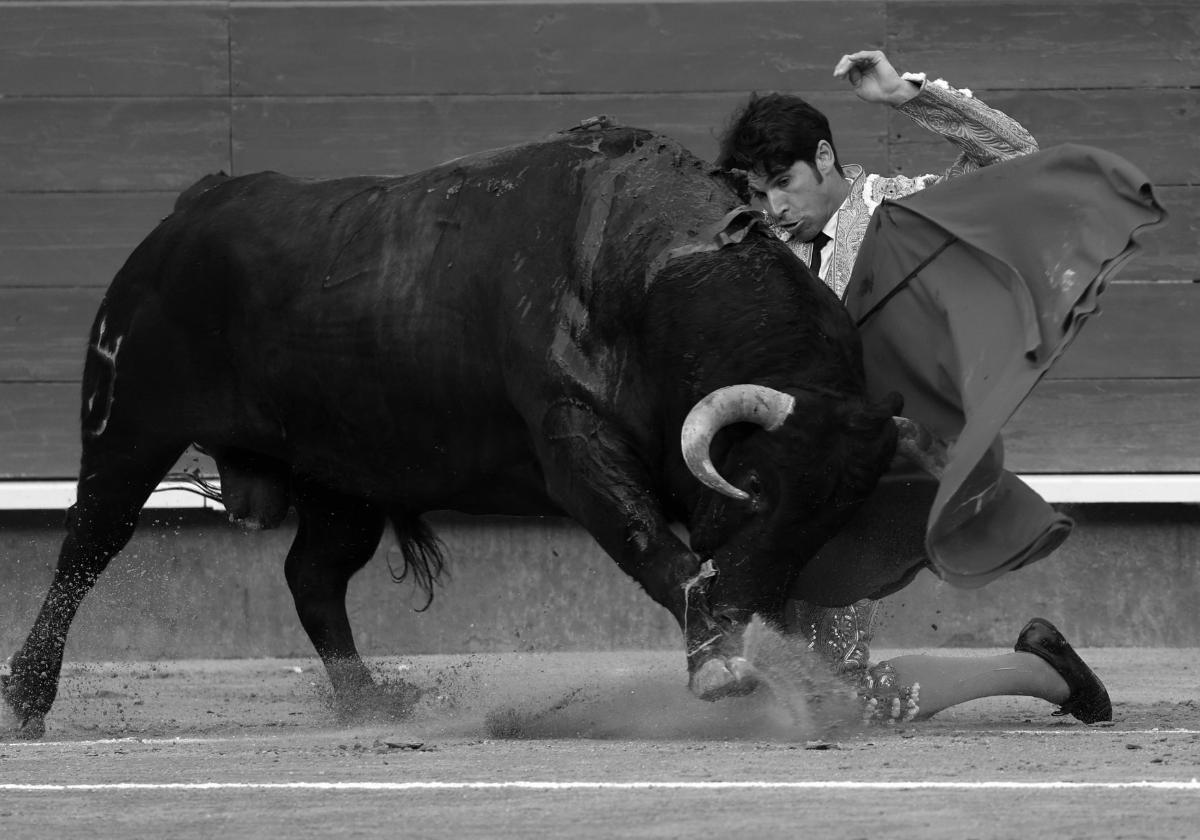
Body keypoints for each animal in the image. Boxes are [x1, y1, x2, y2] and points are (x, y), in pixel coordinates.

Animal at [0, 123, 936, 734]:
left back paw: (367, 702)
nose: (746, 608)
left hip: (345, 473)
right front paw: (717, 663)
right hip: (128, 427)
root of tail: (194, 205)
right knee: (87, 545)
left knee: (313, 576)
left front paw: (839, 678)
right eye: (757, 488)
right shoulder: (571, 444)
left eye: (836, 514)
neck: (654, 269)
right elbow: (648, 542)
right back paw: (28, 700)